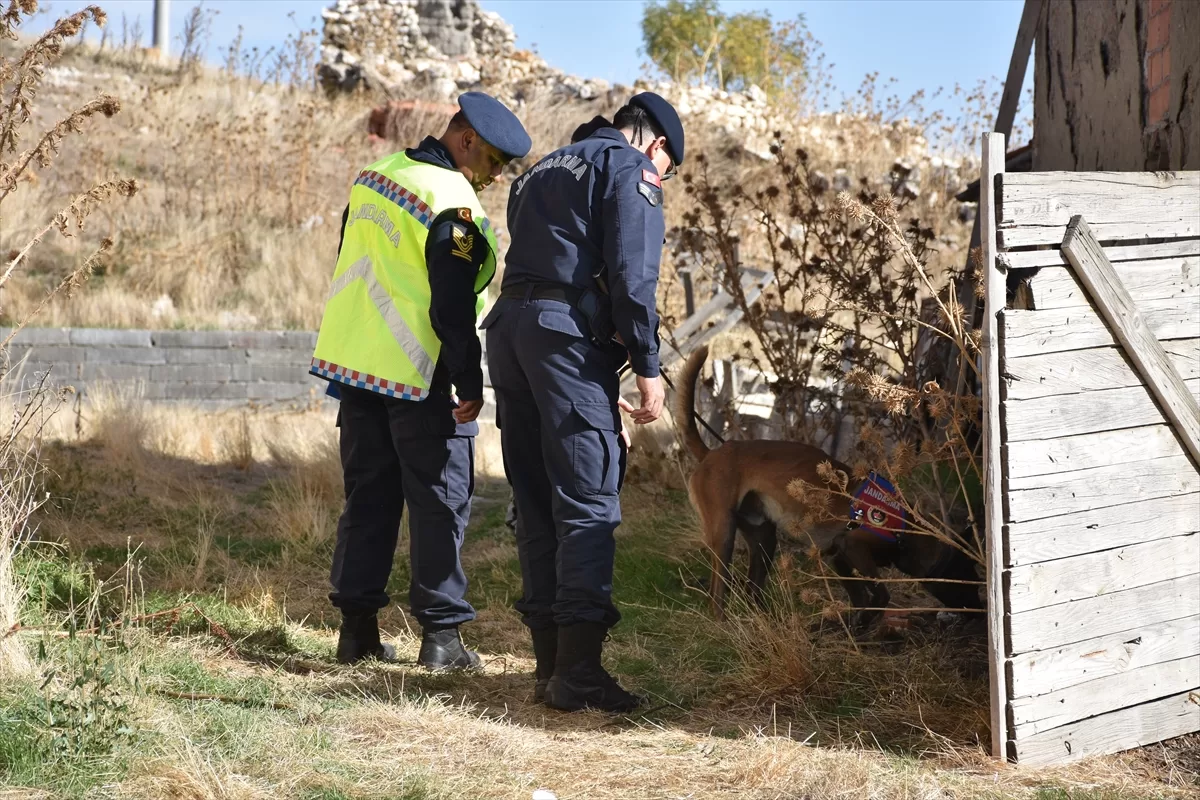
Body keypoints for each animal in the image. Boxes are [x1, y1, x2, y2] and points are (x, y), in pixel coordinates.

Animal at [676, 345, 984, 623]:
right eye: (965, 576)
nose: (978, 610)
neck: (904, 527)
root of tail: (711, 453)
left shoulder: (839, 557)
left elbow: (861, 599)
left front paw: (857, 628)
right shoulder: (853, 547)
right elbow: (880, 596)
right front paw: (864, 624)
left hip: (764, 538)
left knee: (753, 589)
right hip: (724, 532)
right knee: (717, 591)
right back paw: (723, 623)